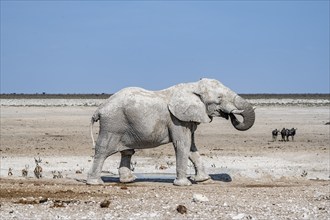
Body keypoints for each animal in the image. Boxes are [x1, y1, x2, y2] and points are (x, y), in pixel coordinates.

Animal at [87, 78, 255, 186]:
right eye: (219, 98)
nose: (232, 115)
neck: (193, 86)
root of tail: (99, 109)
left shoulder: (186, 119)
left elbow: (192, 148)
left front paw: (205, 181)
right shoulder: (177, 119)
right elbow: (183, 145)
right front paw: (184, 184)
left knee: (127, 152)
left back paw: (129, 180)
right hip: (112, 125)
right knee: (102, 151)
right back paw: (95, 183)